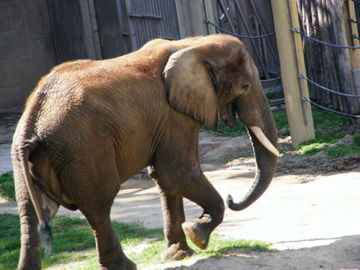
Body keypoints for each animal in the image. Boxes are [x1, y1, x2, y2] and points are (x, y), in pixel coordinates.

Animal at [11, 34, 278, 270]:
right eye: (244, 87)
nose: (231, 197)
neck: (196, 43)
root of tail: (34, 115)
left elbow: (165, 179)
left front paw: (178, 254)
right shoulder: (174, 115)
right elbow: (177, 173)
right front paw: (197, 235)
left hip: (26, 158)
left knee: (31, 212)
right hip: (83, 150)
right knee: (99, 206)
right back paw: (125, 266)